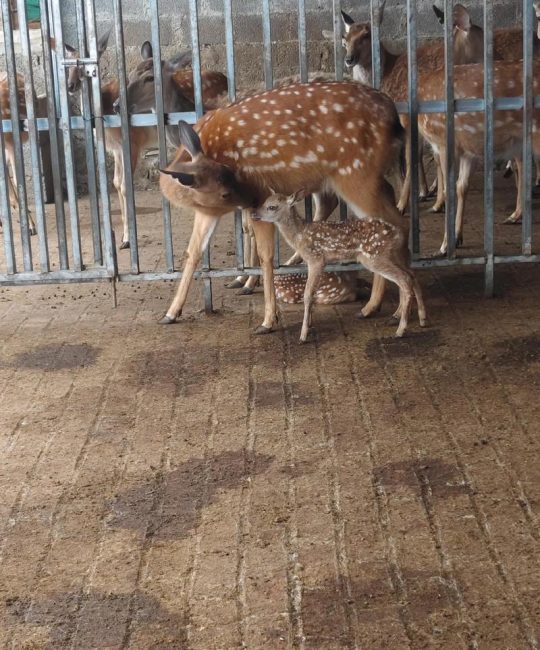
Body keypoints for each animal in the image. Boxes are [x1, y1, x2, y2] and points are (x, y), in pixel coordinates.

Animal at [62, 34, 227, 249]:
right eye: (67, 63)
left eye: (88, 59)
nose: (70, 85)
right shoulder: (116, 149)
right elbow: (116, 182)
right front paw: (123, 239)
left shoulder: (132, 142)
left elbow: (125, 185)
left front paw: (127, 239)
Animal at [158, 80, 408, 334]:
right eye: (224, 191)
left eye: (232, 173)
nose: (251, 200)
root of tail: (394, 116)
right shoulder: (208, 211)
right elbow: (193, 252)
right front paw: (170, 313)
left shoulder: (259, 195)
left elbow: (266, 255)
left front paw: (268, 320)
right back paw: (381, 308)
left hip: (357, 175)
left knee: (395, 223)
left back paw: (383, 309)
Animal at [252, 190, 427, 341]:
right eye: (264, 201)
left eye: (272, 206)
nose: (254, 214)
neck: (299, 236)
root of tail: (398, 232)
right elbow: (311, 293)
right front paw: (309, 325)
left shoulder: (316, 259)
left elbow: (308, 295)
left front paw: (303, 335)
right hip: (392, 255)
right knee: (412, 274)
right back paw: (422, 319)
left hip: (375, 257)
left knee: (404, 279)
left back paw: (400, 330)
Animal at [417, 59, 540, 255]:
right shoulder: (469, 150)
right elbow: (461, 186)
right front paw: (457, 238)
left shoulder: (444, 142)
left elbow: (448, 190)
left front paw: (444, 246)